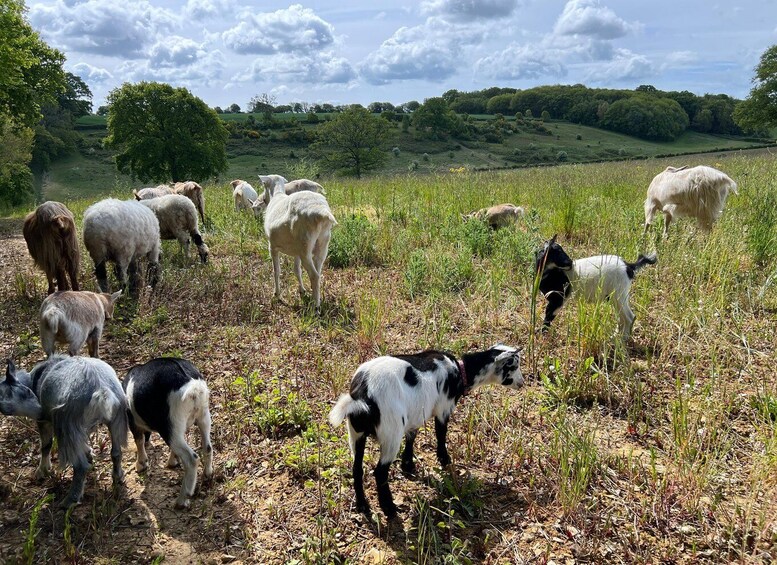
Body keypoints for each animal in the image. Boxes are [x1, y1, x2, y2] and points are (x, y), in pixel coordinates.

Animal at [0, 356, 127, 507]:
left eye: (27, 392)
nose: (40, 411)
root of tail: (101, 388)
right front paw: (90, 454)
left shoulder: (45, 422)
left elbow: (46, 446)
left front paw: (42, 471)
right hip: (116, 419)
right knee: (116, 453)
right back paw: (118, 477)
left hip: (67, 424)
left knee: (80, 465)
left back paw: (70, 501)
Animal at [123, 358, 213, 509]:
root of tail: (192, 385)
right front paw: (172, 462)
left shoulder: (132, 421)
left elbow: (139, 440)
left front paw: (141, 464)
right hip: (203, 416)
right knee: (207, 447)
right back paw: (208, 474)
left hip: (169, 424)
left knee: (191, 459)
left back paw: (182, 500)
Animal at [329, 345, 523, 518]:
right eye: (513, 366)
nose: (522, 383)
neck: (460, 371)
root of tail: (362, 395)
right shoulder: (444, 409)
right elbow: (441, 435)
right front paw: (445, 461)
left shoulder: (414, 415)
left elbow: (412, 437)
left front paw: (408, 466)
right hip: (391, 431)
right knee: (380, 472)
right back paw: (389, 509)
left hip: (356, 433)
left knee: (357, 468)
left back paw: (362, 504)